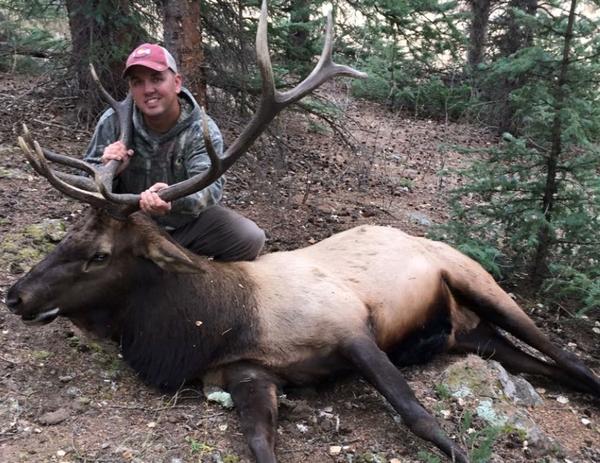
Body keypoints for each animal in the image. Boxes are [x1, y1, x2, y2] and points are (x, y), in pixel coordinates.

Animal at [2, 1, 596, 462]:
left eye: (100, 254)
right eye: (66, 234)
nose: (15, 295)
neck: (220, 324)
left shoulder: (351, 329)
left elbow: (420, 416)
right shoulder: (246, 375)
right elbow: (260, 445)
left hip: (476, 279)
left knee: (569, 358)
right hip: (471, 334)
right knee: (533, 358)